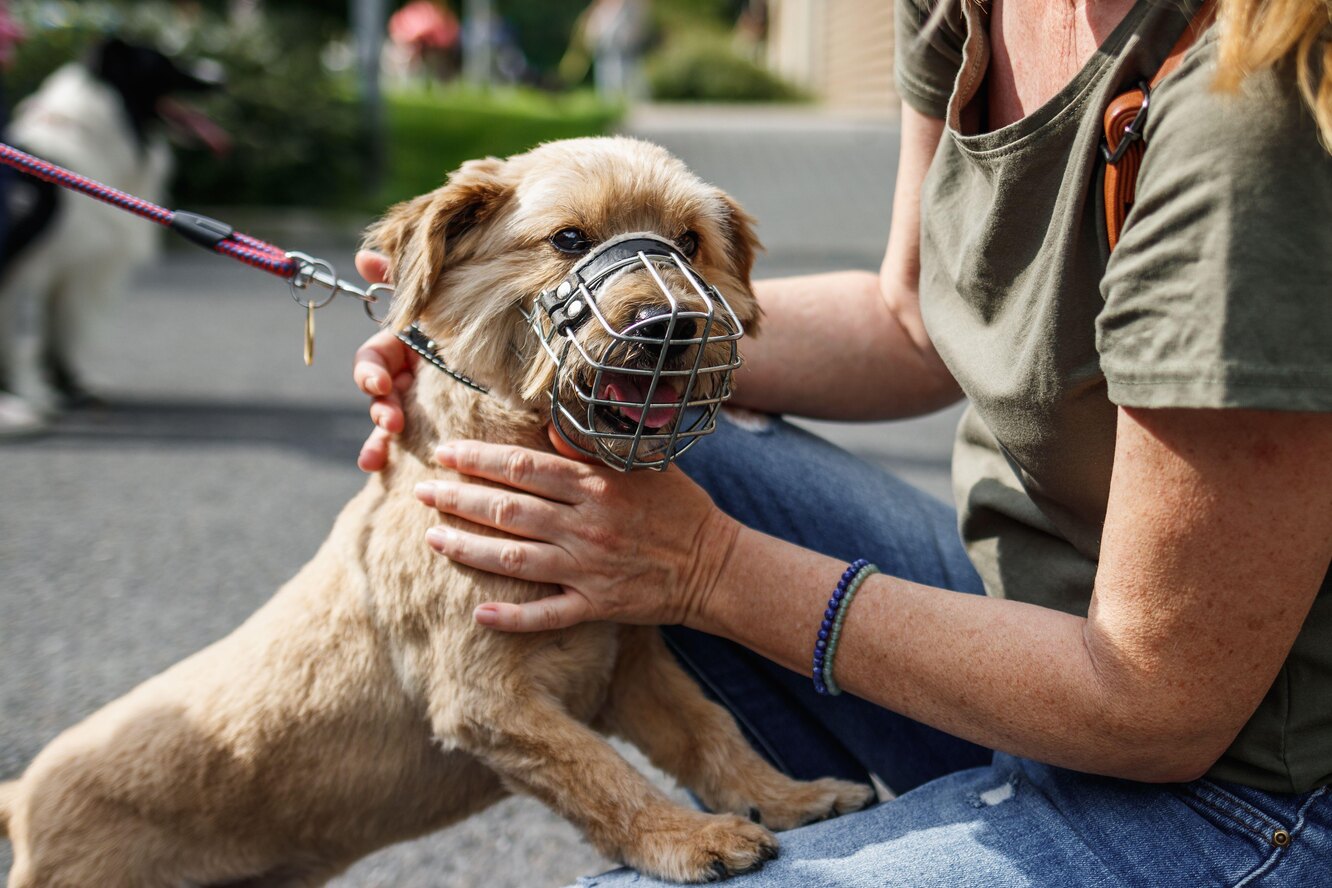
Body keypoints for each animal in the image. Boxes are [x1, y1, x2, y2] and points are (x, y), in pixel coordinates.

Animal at [0, 38, 225, 434]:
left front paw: (70, 388)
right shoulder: (36, 267)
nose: (221, 76)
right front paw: (38, 396)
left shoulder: (70, 267)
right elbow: (31, 337)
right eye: (163, 64)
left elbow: (60, 334)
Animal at [0, 139, 873, 888]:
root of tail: (25, 794)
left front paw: (788, 797)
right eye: (567, 238)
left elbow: (710, 733)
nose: (671, 325)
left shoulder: (629, 666)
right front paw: (689, 838)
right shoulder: (487, 701)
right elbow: (603, 776)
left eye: (690, 243)